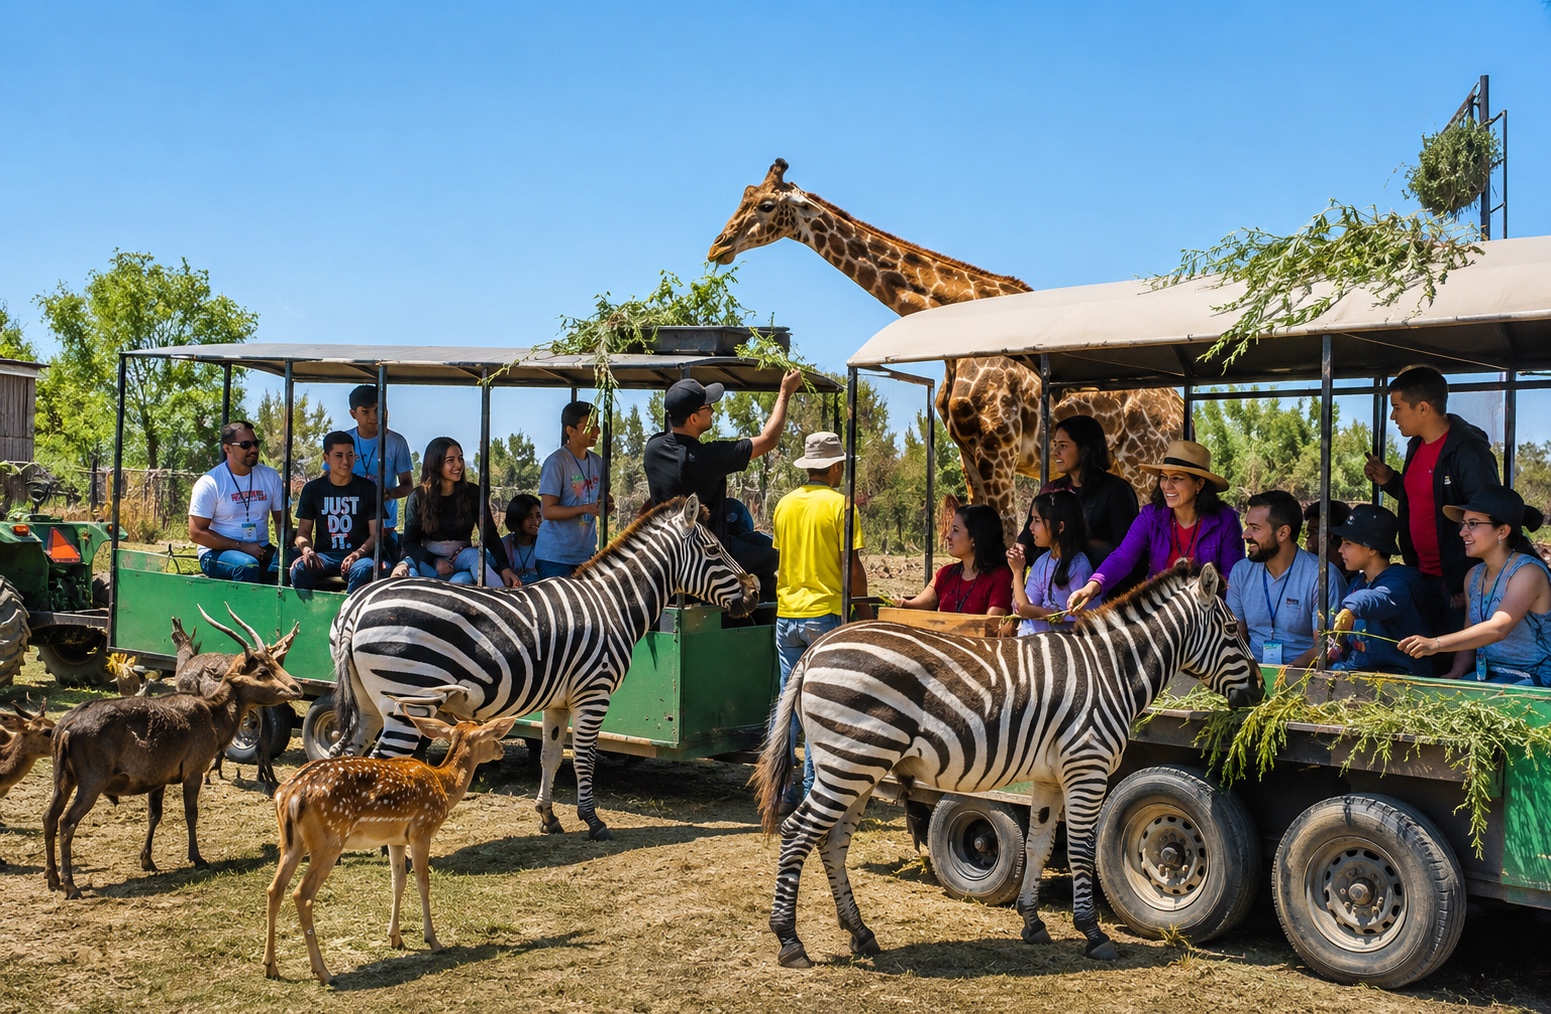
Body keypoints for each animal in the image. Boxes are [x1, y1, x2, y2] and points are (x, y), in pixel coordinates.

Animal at [708, 159, 1184, 540]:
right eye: (744, 196)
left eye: (766, 205)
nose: (718, 246)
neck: (958, 333)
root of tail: (1178, 409)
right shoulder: (969, 453)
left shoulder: (998, 451)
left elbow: (1008, 535)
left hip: (1144, 465)